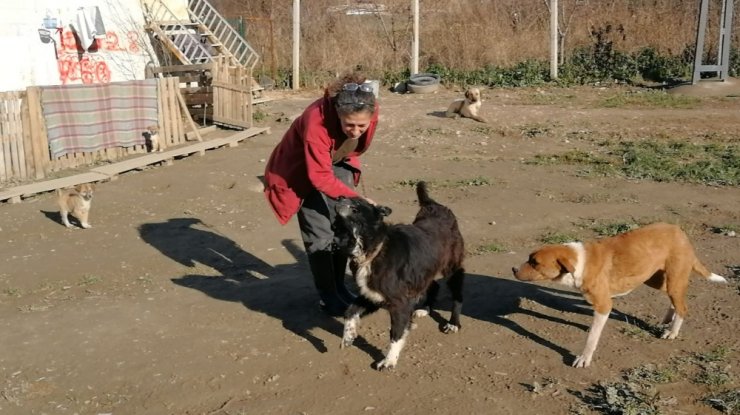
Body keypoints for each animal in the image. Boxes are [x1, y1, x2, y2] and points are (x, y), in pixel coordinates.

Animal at [334, 182, 466, 370]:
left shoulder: (399, 302)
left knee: (457, 295)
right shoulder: (372, 294)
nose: (338, 197)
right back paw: (425, 308)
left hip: (451, 269)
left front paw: (389, 360)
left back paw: (453, 323)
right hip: (425, 269)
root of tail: (434, 205)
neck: (373, 248)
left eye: (357, 202)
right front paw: (349, 336)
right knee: (434, 285)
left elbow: (396, 334)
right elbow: (350, 311)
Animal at [512, 223, 724, 368]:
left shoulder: (604, 305)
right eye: (529, 258)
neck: (580, 262)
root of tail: (679, 231)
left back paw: (672, 332)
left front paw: (584, 358)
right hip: (656, 279)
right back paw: (668, 319)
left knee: (682, 306)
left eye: (535, 262)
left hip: (673, 278)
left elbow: (592, 338)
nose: (513, 269)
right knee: (674, 299)